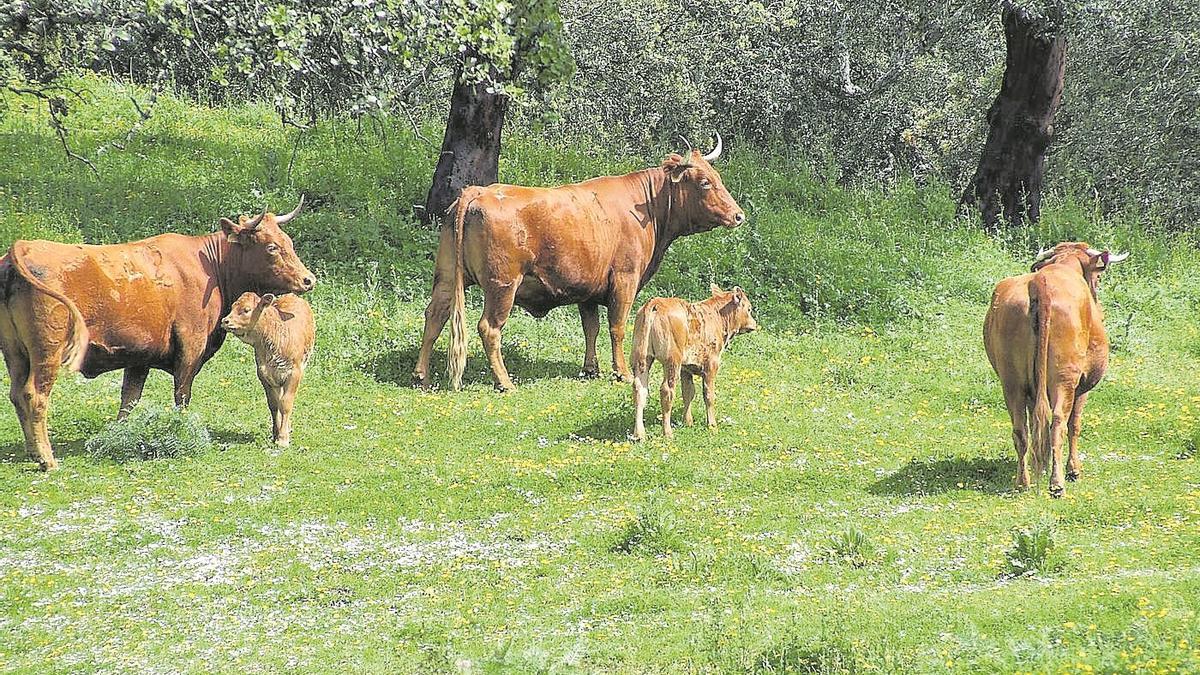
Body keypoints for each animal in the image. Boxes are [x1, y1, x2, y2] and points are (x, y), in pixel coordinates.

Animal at [219, 290, 314, 444]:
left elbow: (286, 403)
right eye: (232, 306)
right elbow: (274, 404)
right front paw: (276, 433)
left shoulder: (295, 373)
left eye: (246, 310)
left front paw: (283, 439)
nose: (225, 321)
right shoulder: (263, 374)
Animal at [417, 134, 744, 391]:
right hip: (502, 286)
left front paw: (591, 368)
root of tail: (477, 191)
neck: (646, 207)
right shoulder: (624, 280)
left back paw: (421, 374)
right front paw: (621, 372)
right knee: (489, 328)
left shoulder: (588, 288)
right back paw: (504, 382)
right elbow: (617, 327)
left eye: (717, 179)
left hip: (447, 276)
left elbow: (591, 328)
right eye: (704, 182)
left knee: (435, 315)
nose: (738, 215)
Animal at [633, 283, 753, 441]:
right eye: (749, 309)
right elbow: (708, 395)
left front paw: (688, 422)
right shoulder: (711, 365)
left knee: (639, 389)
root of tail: (656, 302)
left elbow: (688, 392)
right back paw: (667, 433)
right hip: (672, 361)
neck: (718, 316)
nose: (754, 324)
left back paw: (639, 434)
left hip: (643, 358)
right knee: (666, 391)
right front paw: (712, 426)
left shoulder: (686, 368)